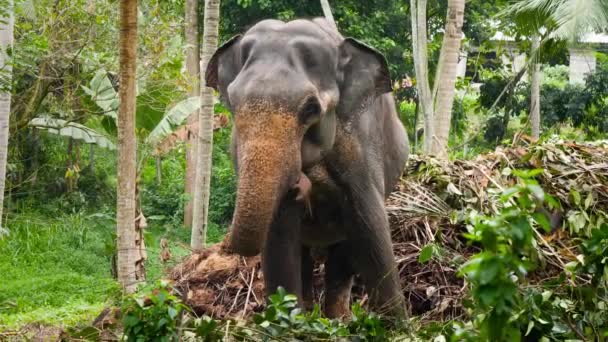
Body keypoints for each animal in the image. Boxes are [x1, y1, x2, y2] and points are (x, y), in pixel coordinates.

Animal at [204, 18, 408, 318]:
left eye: (311, 108)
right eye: (232, 101)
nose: (302, 181)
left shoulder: (361, 143)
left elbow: (371, 229)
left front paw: (398, 324)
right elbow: (279, 237)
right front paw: (288, 321)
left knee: (343, 254)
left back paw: (337, 318)